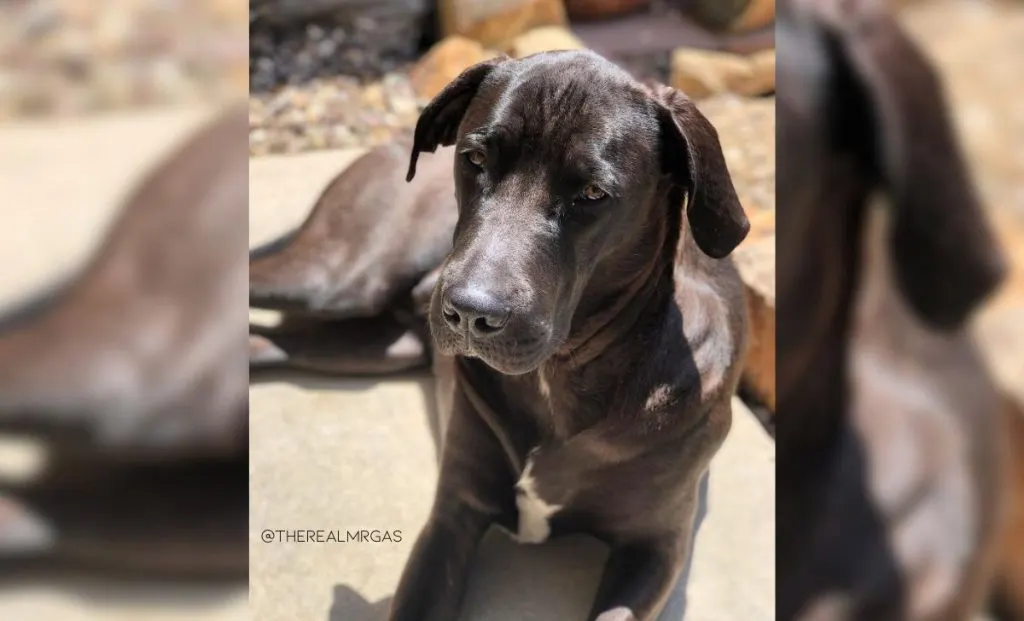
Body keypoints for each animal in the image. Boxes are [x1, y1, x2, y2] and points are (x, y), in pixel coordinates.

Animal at [250, 49, 753, 621]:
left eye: (593, 193)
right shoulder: (451, 517)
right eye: (473, 159)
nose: (469, 312)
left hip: (370, 341)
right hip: (339, 279)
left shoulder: (657, 548)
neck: (559, 375)